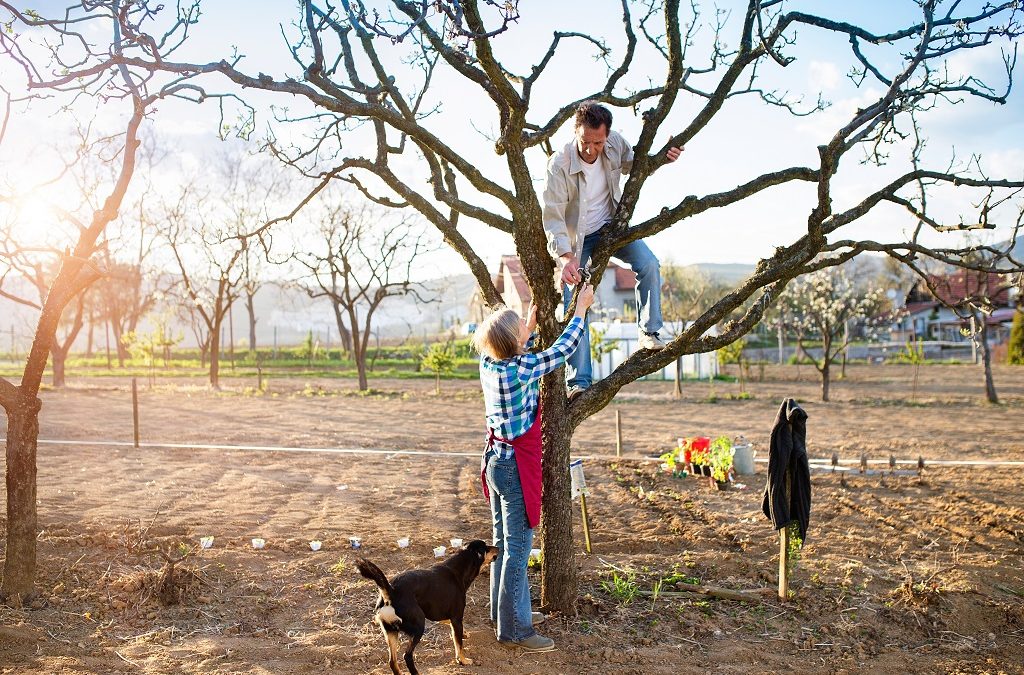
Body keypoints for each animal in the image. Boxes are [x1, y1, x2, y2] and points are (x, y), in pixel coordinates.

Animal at [358, 536, 497, 675]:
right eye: (487, 548)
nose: (498, 548)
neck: (460, 568)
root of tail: (390, 591)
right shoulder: (456, 617)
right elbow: (459, 645)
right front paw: (462, 660)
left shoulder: (439, 614)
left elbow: (454, 630)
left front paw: (465, 633)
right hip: (418, 626)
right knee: (407, 656)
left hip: (391, 632)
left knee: (392, 661)